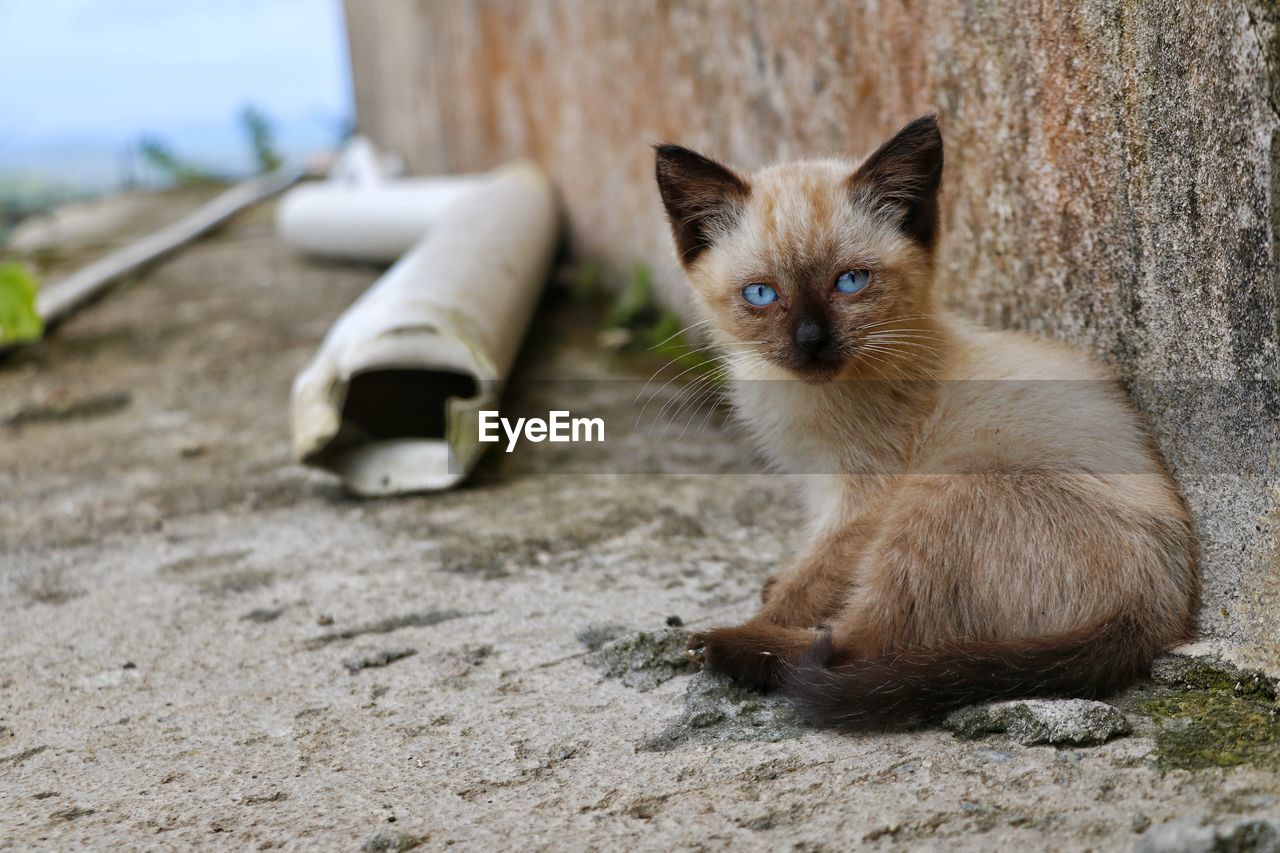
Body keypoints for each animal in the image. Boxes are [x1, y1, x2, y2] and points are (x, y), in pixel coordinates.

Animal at [655, 114, 1203, 722]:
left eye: (851, 282)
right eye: (760, 294)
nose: (811, 342)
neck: (800, 395)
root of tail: (1153, 612)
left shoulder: (864, 500)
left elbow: (812, 582)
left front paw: (764, 613)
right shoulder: (825, 489)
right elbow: (809, 566)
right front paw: (774, 586)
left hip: (939, 492)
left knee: (864, 646)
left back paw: (726, 647)